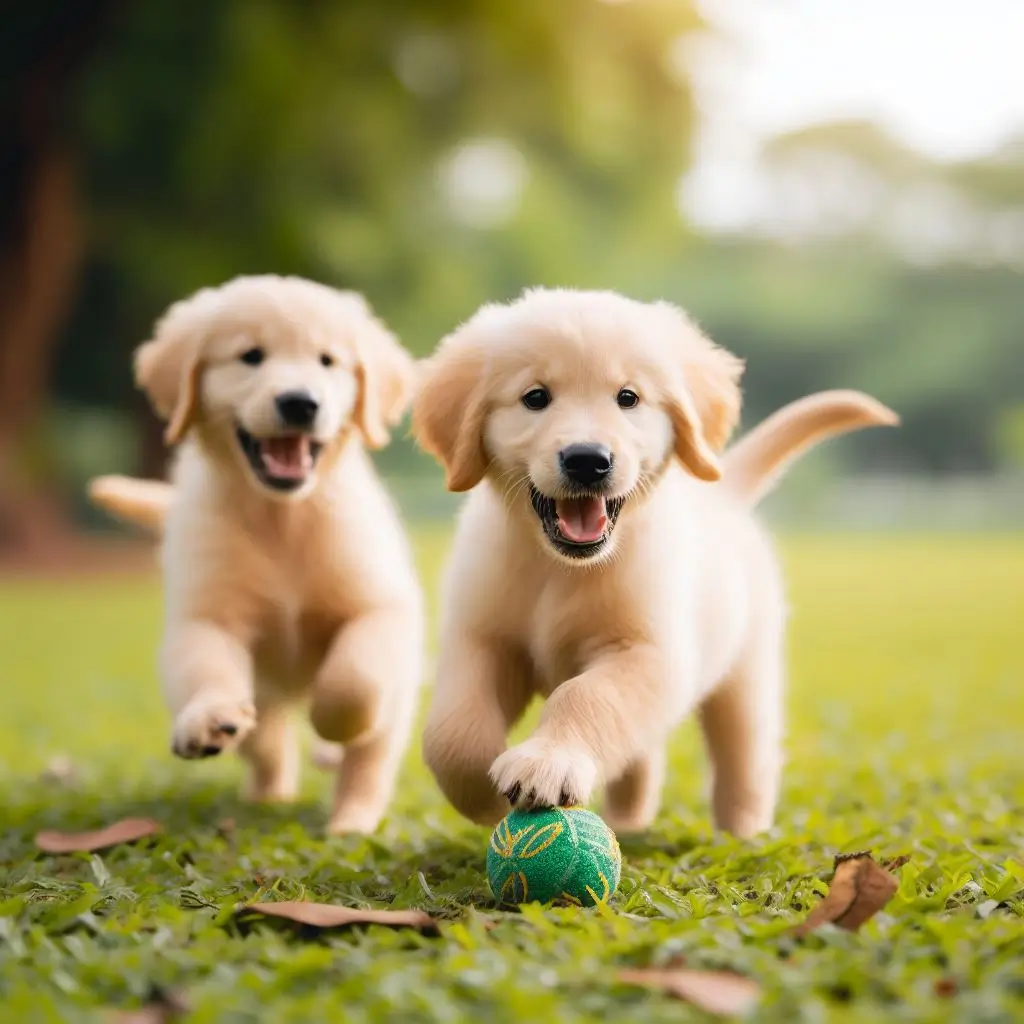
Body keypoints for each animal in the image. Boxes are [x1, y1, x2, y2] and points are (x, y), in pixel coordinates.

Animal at [89, 276, 423, 835]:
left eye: (327, 360)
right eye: (250, 356)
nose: (300, 403)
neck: (281, 518)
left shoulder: (382, 606)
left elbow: (354, 678)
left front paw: (334, 724)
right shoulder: (207, 615)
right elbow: (206, 665)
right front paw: (207, 717)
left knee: (369, 764)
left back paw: (349, 818)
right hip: (264, 695)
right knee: (267, 746)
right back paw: (267, 794)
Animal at [409, 284, 897, 835]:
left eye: (628, 397)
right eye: (535, 397)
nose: (588, 460)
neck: (560, 569)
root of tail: (725, 493)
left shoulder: (650, 653)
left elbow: (586, 695)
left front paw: (547, 762)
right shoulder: (481, 639)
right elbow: (451, 730)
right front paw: (482, 795)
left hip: (747, 672)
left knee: (745, 754)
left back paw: (742, 829)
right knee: (641, 754)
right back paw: (628, 819)